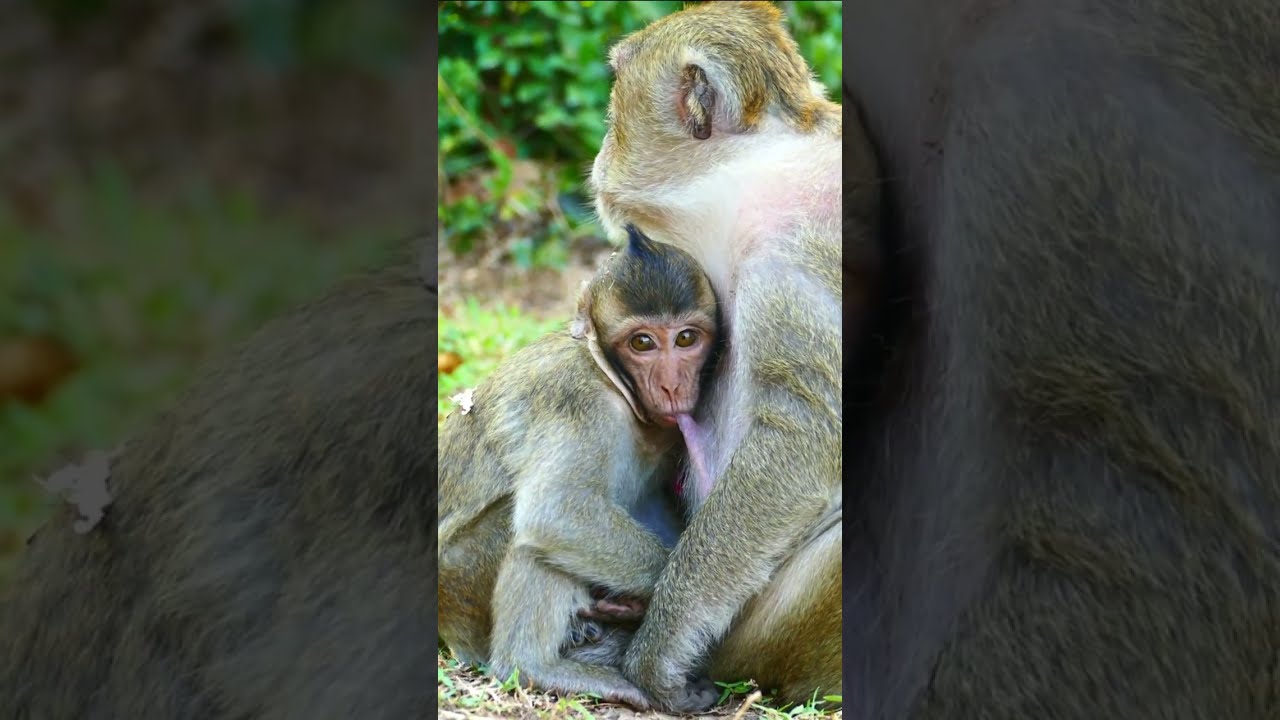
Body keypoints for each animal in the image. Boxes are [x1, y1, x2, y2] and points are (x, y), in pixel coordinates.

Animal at [437, 225, 722, 710]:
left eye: (686, 338)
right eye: (642, 343)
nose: (671, 385)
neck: (610, 378)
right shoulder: (577, 400)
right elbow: (557, 509)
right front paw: (651, 597)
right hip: (459, 580)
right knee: (534, 531)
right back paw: (534, 667)